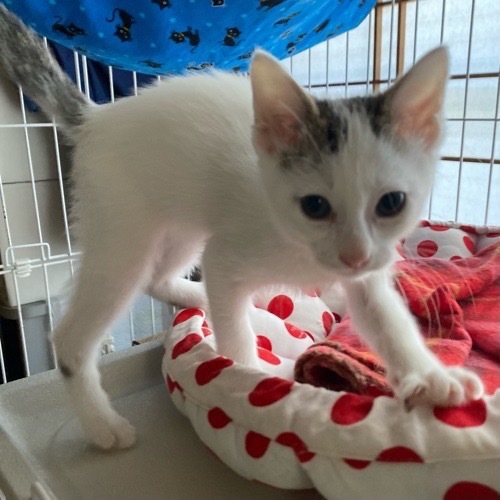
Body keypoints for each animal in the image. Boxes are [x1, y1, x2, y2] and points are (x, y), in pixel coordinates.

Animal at [0, 5, 483, 450]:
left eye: (392, 203)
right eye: (315, 205)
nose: (354, 255)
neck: (300, 245)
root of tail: (97, 118)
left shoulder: (366, 270)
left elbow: (386, 319)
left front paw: (431, 378)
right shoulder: (231, 252)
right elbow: (234, 330)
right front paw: (249, 383)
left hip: (182, 225)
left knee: (162, 279)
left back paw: (218, 301)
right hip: (124, 230)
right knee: (77, 333)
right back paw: (102, 424)